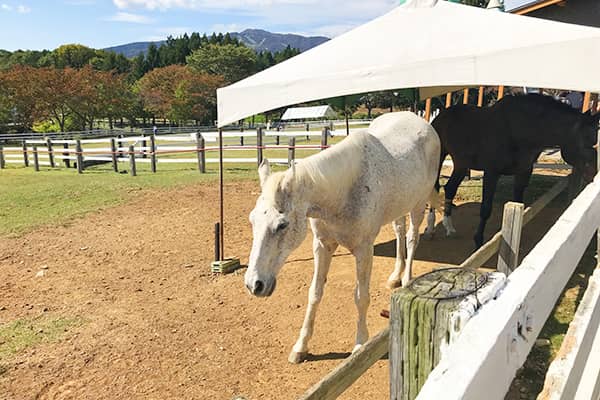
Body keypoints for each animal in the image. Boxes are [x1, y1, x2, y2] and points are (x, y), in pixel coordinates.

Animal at [244, 111, 440, 362]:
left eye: (282, 225)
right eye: (252, 220)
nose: (254, 284)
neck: (343, 194)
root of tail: (422, 122)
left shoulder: (364, 250)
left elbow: (361, 296)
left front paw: (360, 345)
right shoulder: (322, 246)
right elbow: (315, 293)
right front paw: (301, 346)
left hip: (418, 204)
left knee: (412, 237)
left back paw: (406, 279)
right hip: (400, 207)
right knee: (399, 232)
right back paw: (395, 276)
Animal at [432, 95, 596, 248]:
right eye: (586, 141)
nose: (593, 174)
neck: (517, 131)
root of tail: (441, 115)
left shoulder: (524, 172)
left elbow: (519, 203)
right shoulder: (492, 173)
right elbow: (485, 209)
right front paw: (479, 242)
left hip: (461, 163)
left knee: (450, 188)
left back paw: (449, 227)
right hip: (439, 158)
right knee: (436, 187)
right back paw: (430, 227)